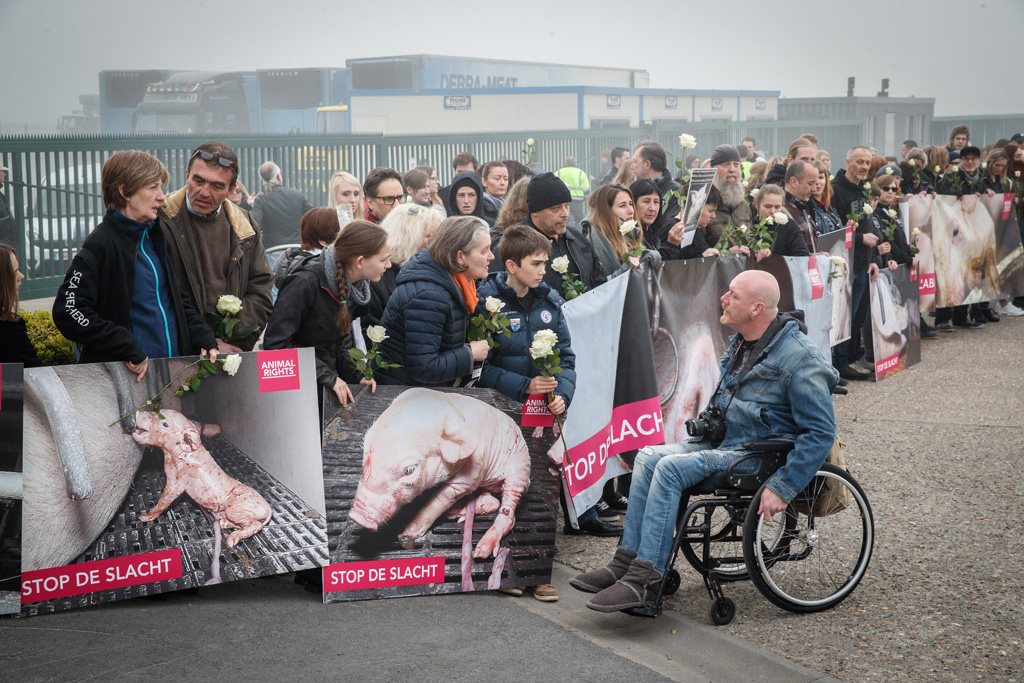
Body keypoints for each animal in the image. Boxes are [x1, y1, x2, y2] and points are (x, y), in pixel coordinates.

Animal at [348, 387, 532, 557]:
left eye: (409, 470)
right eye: (366, 450)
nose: (357, 516)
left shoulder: (472, 473)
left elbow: (440, 498)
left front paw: (405, 534)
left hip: (520, 472)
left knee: (508, 510)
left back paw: (481, 550)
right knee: (493, 501)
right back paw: (458, 512)